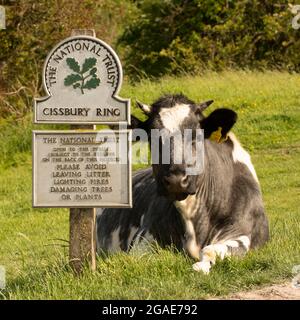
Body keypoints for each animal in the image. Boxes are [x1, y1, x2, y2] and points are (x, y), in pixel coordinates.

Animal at [96, 94, 270, 274]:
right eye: (153, 138)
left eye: (196, 135)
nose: (176, 180)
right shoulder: (143, 240)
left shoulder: (244, 231)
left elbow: (210, 251)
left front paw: (201, 266)